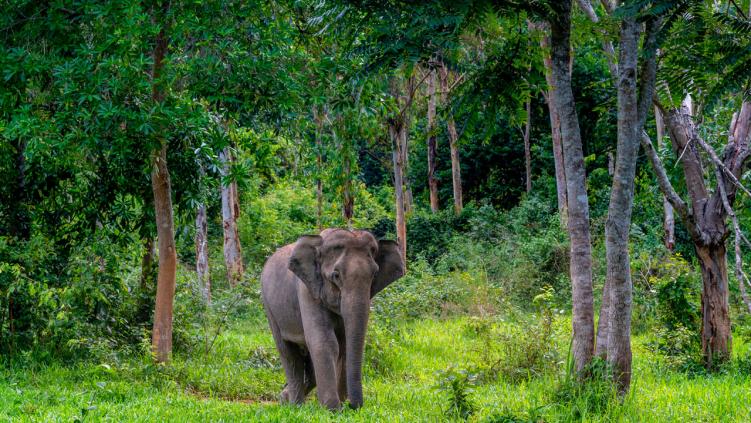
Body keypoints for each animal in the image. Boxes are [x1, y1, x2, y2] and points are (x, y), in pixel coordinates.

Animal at [260, 228, 405, 410]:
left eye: (375, 274)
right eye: (336, 275)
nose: (352, 405)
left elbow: (344, 344)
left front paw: (340, 404)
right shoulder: (307, 291)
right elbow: (324, 341)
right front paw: (333, 409)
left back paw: (286, 398)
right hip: (269, 307)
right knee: (288, 352)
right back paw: (294, 405)